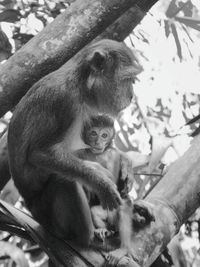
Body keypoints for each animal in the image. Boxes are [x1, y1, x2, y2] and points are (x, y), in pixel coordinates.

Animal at [8, 39, 142, 247]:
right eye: (128, 79)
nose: (131, 96)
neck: (81, 85)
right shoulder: (64, 102)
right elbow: (40, 153)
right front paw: (100, 180)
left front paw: (126, 164)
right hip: (48, 217)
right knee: (65, 180)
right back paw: (87, 236)